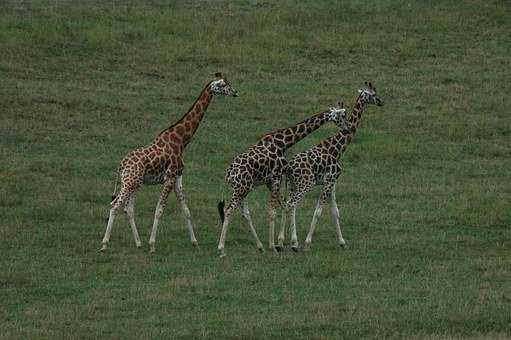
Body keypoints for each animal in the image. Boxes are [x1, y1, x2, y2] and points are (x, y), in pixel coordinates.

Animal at [100, 72, 240, 252]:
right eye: (222, 85)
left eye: (228, 83)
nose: (235, 92)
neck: (180, 140)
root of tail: (121, 165)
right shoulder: (169, 177)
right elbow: (159, 210)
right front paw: (152, 245)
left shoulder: (178, 178)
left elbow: (186, 210)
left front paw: (195, 242)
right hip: (130, 182)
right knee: (115, 205)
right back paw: (105, 244)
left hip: (133, 183)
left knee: (128, 208)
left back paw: (138, 243)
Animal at [216, 103, 352, 258]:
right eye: (343, 115)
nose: (348, 128)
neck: (283, 142)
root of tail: (229, 174)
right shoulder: (276, 177)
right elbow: (273, 210)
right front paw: (275, 246)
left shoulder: (271, 181)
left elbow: (283, 205)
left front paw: (280, 243)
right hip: (241, 188)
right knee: (228, 210)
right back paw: (221, 249)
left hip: (244, 188)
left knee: (245, 213)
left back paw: (259, 246)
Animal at [280, 82, 384, 251]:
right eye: (373, 94)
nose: (381, 102)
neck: (336, 149)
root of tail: (289, 167)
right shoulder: (329, 180)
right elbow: (318, 211)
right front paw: (307, 243)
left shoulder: (333, 182)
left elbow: (335, 211)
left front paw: (342, 242)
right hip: (305, 184)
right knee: (292, 204)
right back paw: (294, 242)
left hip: (290, 184)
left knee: (285, 204)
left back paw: (281, 240)